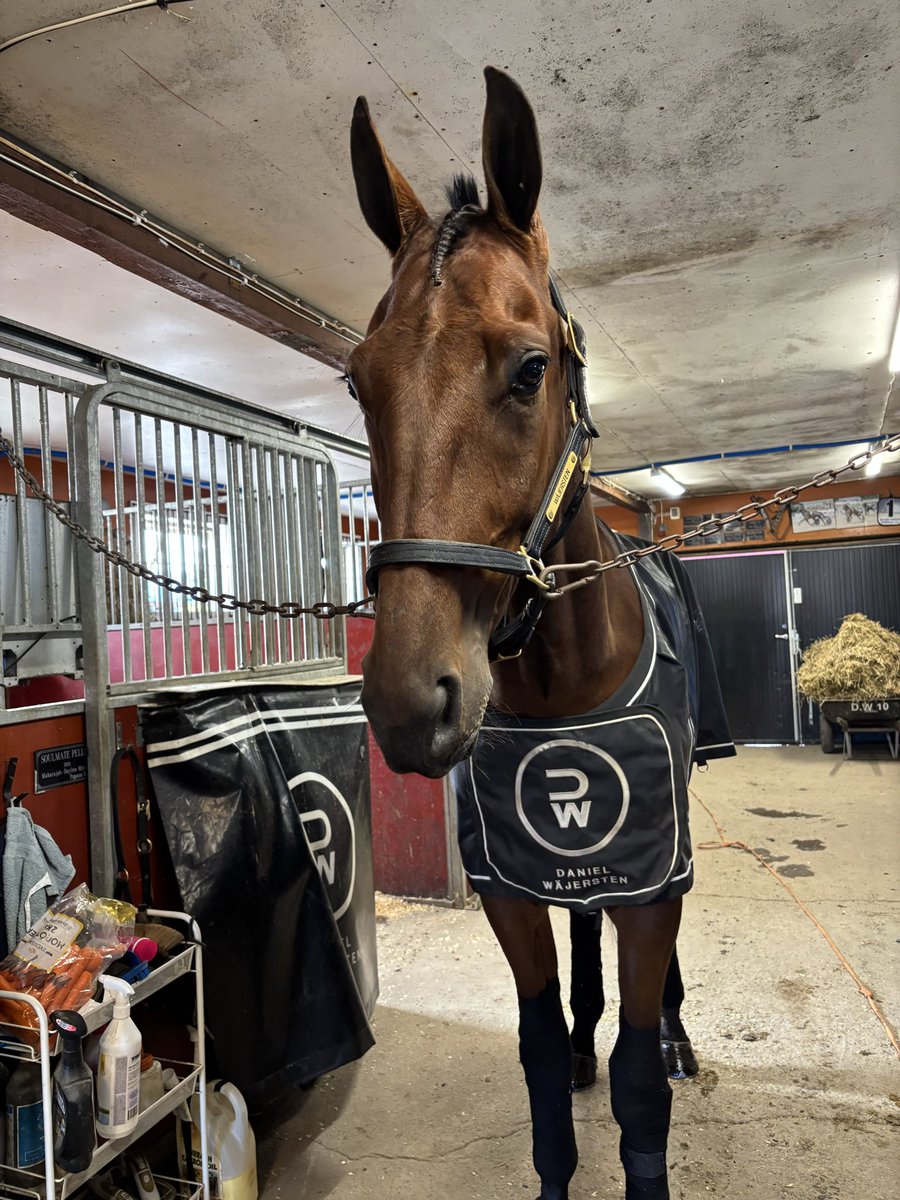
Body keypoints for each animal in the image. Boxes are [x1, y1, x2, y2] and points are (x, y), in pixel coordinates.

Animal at [347, 67, 734, 1200]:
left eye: (529, 369)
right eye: (358, 379)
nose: (407, 702)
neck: (563, 680)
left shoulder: (652, 880)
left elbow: (642, 1070)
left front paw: (650, 1058)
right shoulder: (509, 894)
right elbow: (531, 1050)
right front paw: (561, 1068)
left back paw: (678, 1037)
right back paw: (580, 1042)